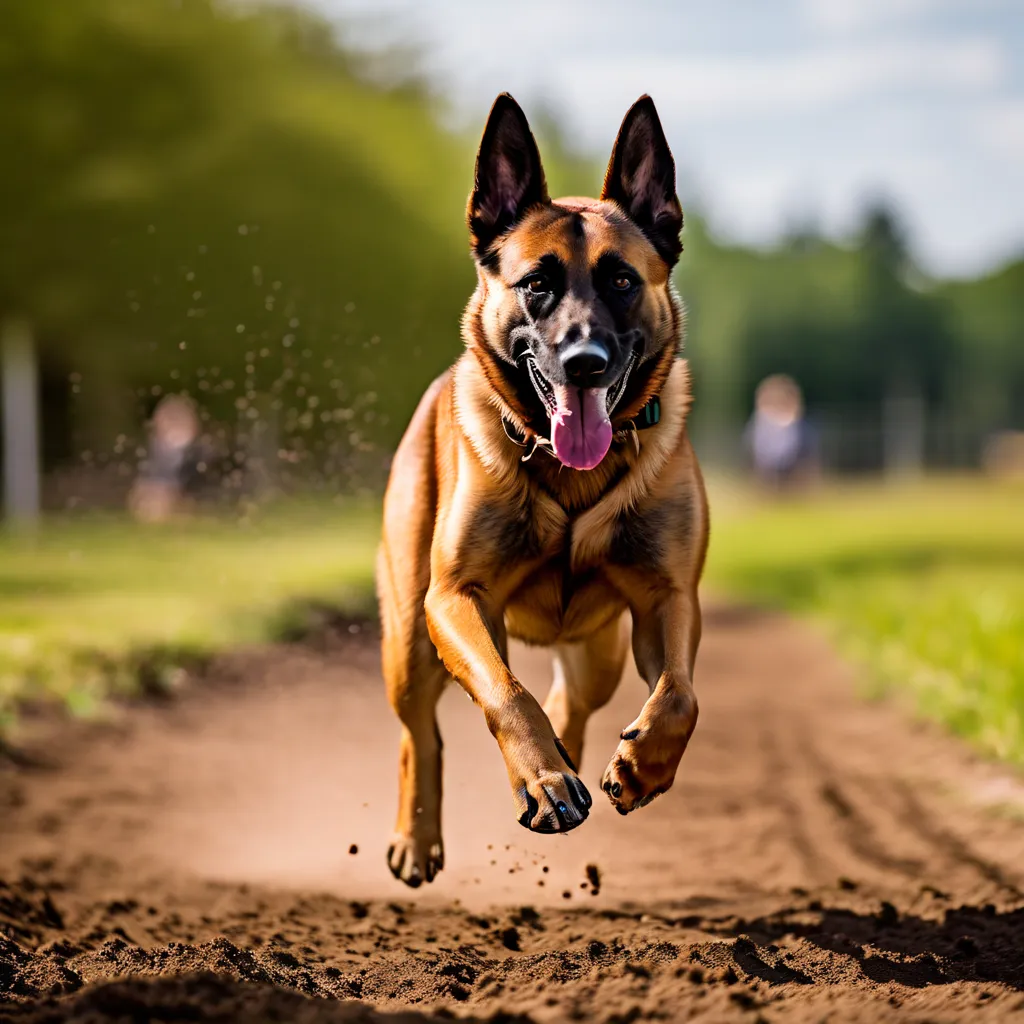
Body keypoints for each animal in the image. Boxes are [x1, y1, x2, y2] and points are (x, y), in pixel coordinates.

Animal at [380, 92, 708, 884]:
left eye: (622, 280)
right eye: (537, 284)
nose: (585, 361)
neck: (570, 475)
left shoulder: (669, 599)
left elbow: (679, 696)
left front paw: (642, 766)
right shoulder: (454, 599)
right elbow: (506, 692)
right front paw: (543, 777)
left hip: (599, 655)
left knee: (574, 702)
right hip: (408, 638)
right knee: (420, 731)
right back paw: (421, 835)